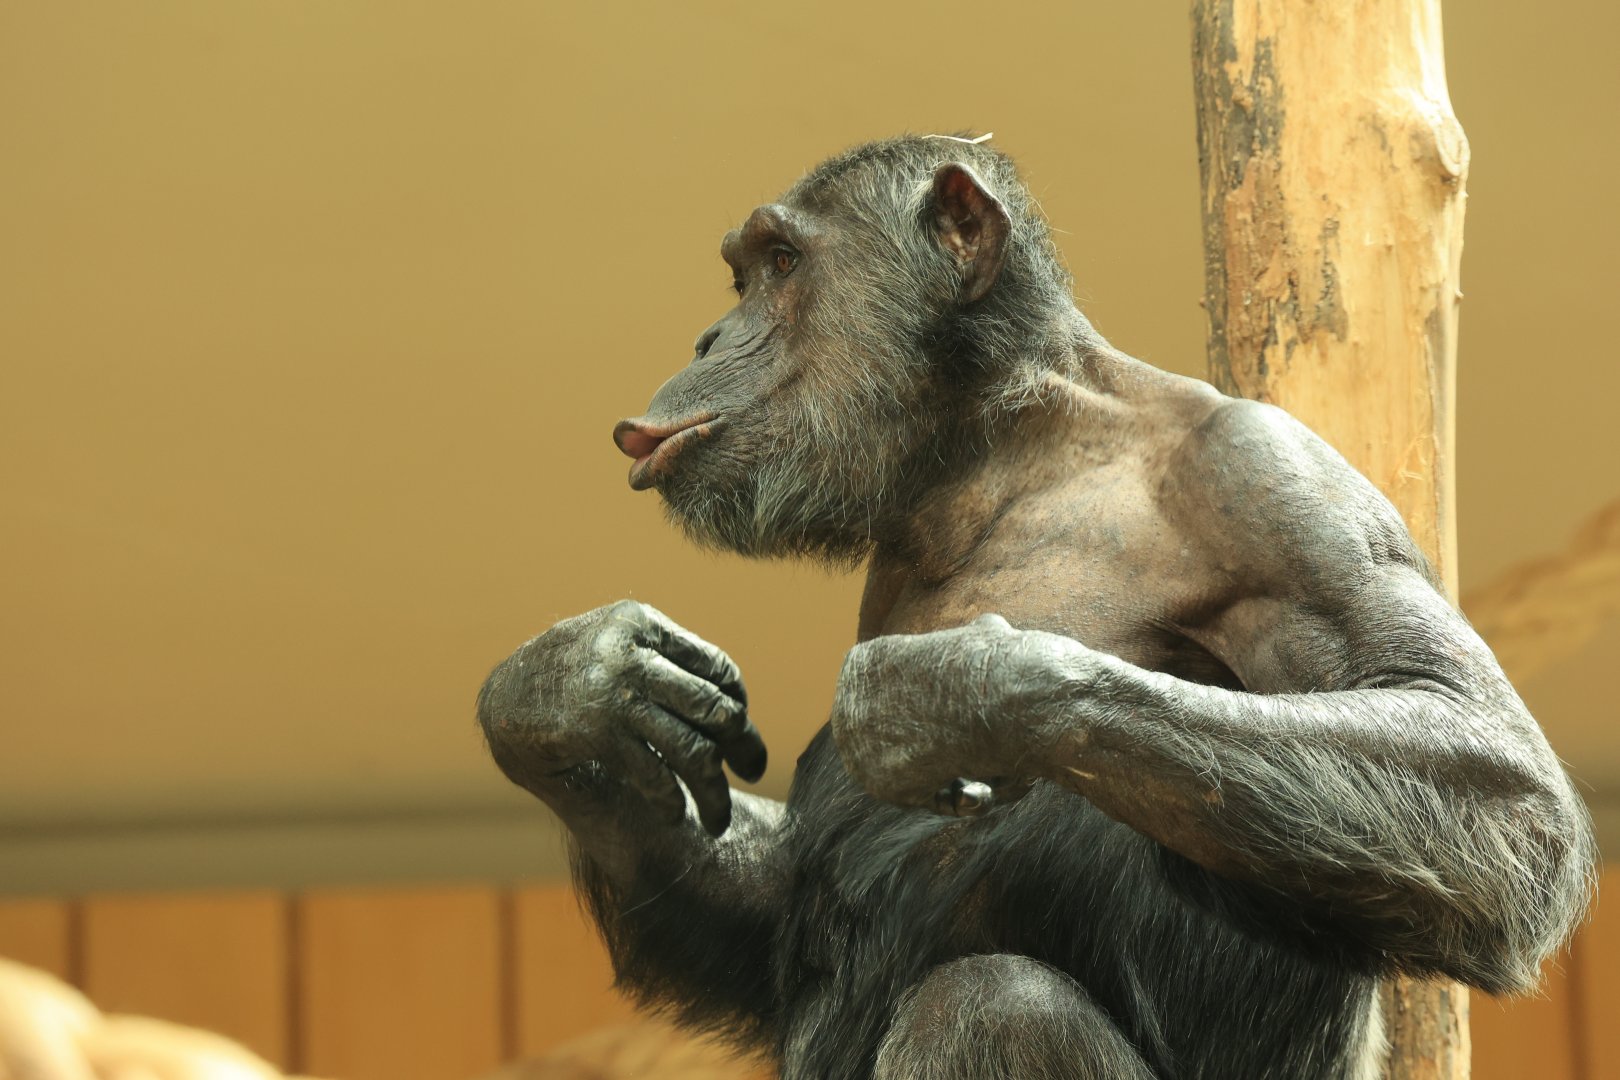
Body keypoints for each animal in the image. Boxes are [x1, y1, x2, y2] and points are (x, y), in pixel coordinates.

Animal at [477, 135, 1595, 1079]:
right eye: (742, 276)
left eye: (783, 264)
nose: (712, 334)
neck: (1002, 446)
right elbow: (773, 904)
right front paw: (575, 695)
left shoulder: (1274, 483)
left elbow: (1501, 791)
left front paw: (954, 691)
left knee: (994, 1005)